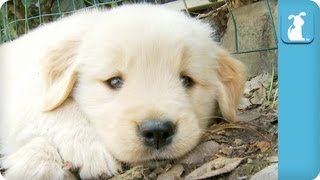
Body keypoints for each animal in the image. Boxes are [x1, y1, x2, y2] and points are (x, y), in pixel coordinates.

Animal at [0, 3, 245, 179]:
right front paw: (90, 151)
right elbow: (55, 110)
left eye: (187, 80)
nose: (157, 131)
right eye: (115, 81)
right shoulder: (28, 91)